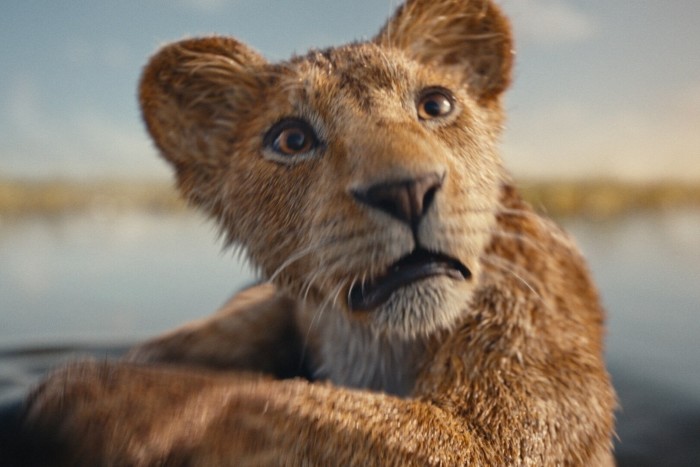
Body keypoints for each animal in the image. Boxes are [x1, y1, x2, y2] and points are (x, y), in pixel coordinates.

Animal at [14, 0, 616, 464]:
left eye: (436, 104)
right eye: (292, 139)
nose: (406, 190)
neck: (374, 343)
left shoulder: (506, 425)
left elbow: (278, 404)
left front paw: (104, 398)